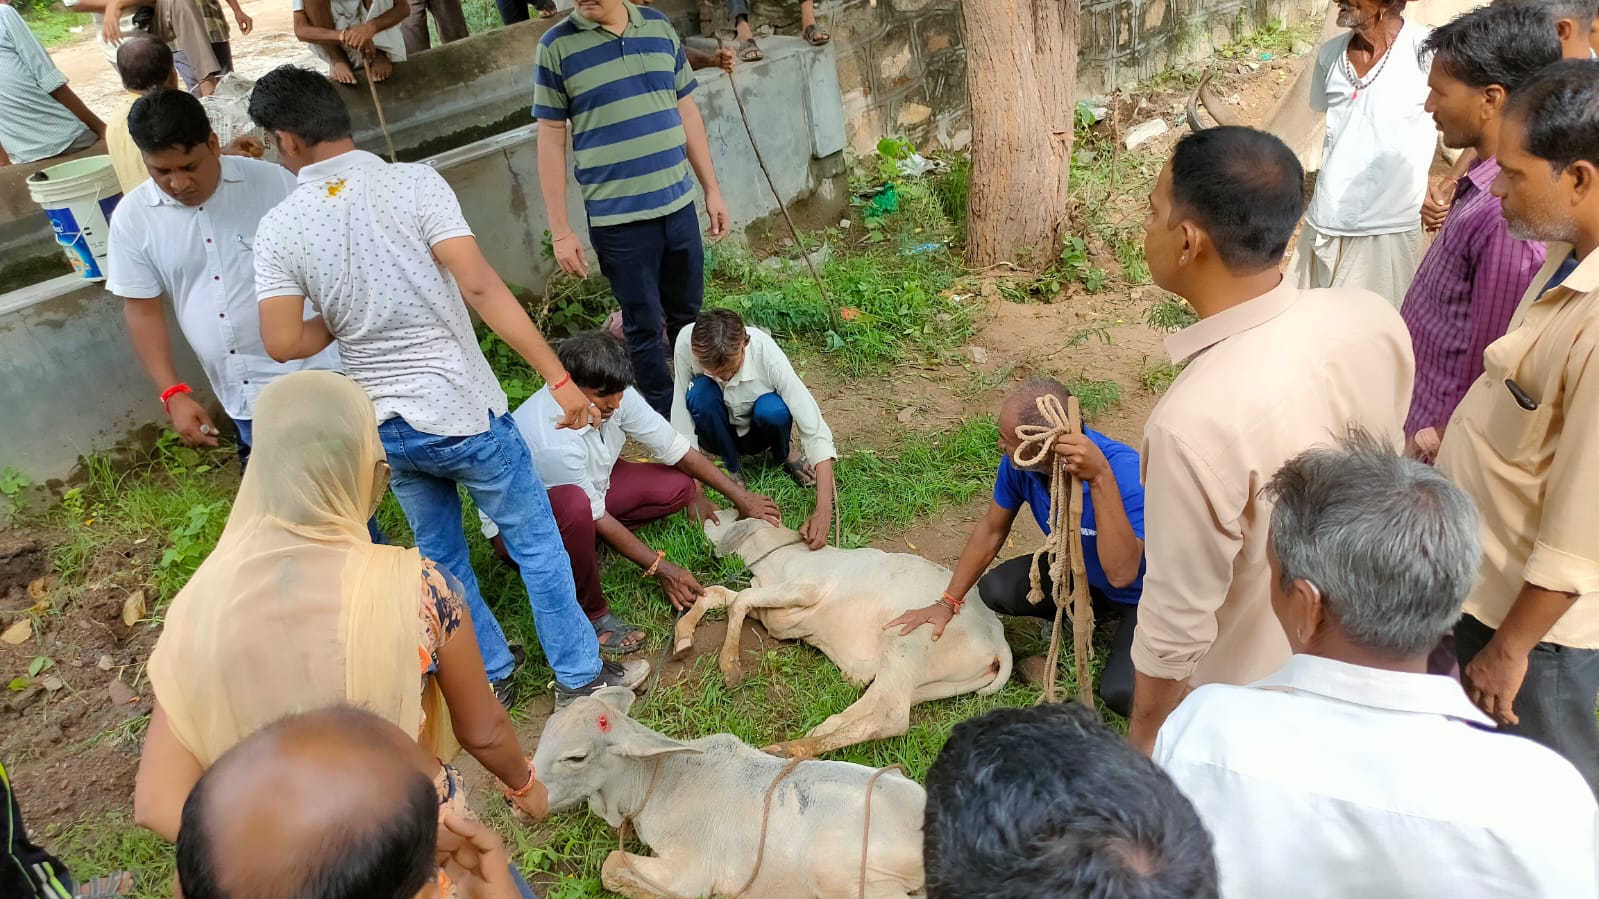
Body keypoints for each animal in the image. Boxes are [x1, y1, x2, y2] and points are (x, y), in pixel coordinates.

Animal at [674, 511, 1010, 755]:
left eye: (725, 515)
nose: (703, 516)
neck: (777, 554)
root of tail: (998, 640)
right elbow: (718, 594)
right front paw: (683, 634)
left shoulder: (805, 586)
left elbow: (740, 600)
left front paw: (729, 665)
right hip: (929, 684)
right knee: (871, 707)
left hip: (907, 642)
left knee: (890, 717)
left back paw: (792, 748)